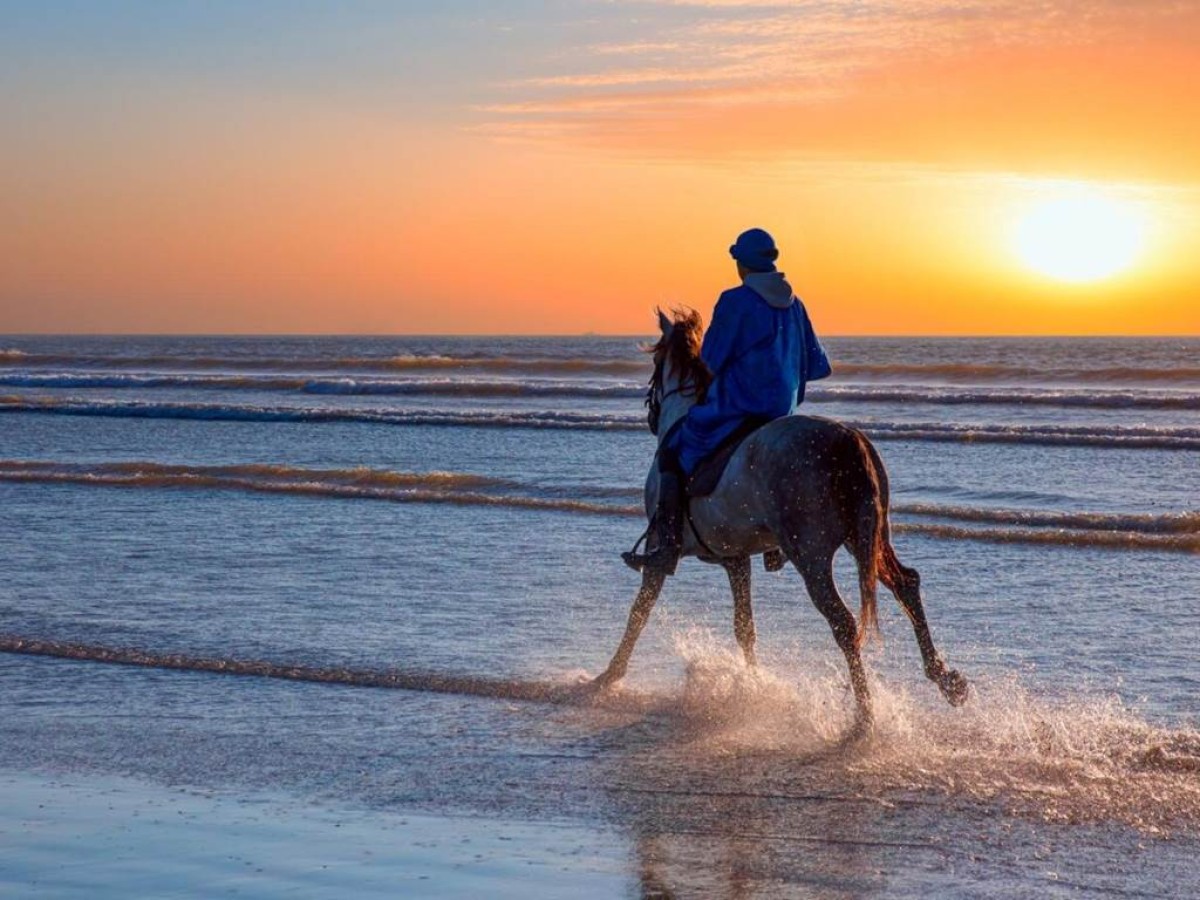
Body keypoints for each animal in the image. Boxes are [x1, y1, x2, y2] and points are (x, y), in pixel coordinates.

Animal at [594, 308, 968, 727]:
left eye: (656, 364)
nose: (651, 415)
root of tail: (846, 439)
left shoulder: (662, 549)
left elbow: (639, 613)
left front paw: (609, 675)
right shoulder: (736, 559)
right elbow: (744, 627)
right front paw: (752, 685)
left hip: (812, 556)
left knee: (844, 623)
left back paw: (864, 713)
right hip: (868, 540)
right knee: (906, 585)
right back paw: (945, 680)